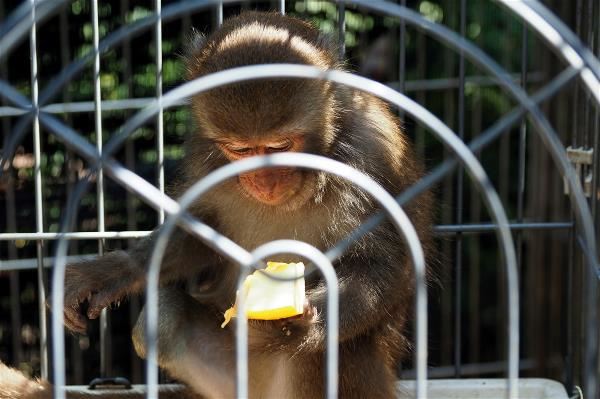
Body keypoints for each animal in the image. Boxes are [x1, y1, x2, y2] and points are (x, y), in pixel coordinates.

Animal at [43, 10, 432, 399]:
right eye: (240, 150)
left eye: (279, 147)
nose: (264, 181)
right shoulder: (204, 157)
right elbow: (202, 233)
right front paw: (115, 270)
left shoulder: (372, 155)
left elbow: (384, 266)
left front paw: (300, 328)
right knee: (164, 315)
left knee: (322, 352)